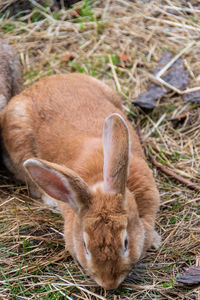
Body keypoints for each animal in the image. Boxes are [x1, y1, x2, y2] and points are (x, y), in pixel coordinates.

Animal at [0, 72, 159, 288]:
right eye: (85, 246)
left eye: (126, 242)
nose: (109, 284)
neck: (99, 179)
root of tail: (41, 84)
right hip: (19, 147)